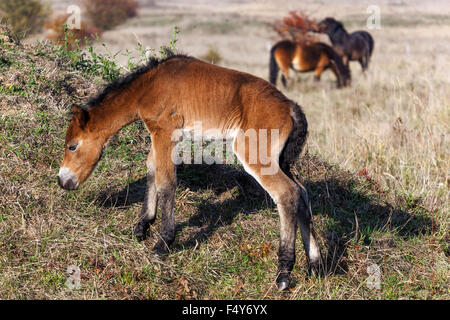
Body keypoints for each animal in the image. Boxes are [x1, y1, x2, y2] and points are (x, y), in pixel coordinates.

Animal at [58, 51, 322, 292]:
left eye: (72, 146)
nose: (63, 181)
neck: (149, 85)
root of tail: (290, 107)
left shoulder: (165, 133)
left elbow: (166, 182)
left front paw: (163, 242)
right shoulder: (158, 136)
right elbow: (152, 169)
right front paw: (142, 226)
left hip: (256, 157)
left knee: (287, 194)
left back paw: (284, 272)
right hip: (281, 162)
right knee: (302, 193)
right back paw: (315, 264)